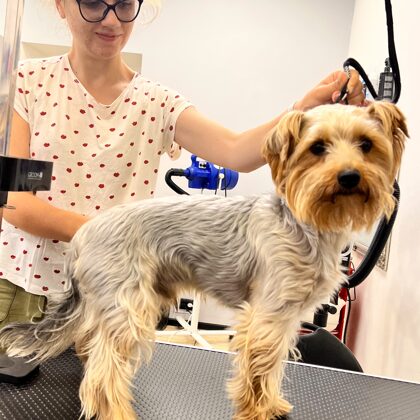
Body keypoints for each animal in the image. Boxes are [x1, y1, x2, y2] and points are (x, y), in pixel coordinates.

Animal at [0, 101, 408, 420]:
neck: (309, 224)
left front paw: (271, 404)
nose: (349, 176)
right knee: (104, 370)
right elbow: (259, 368)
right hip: (129, 305)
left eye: (367, 145)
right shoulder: (268, 315)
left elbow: (275, 365)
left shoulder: (287, 320)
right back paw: (116, 411)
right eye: (317, 148)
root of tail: (83, 236)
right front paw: (257, 410)